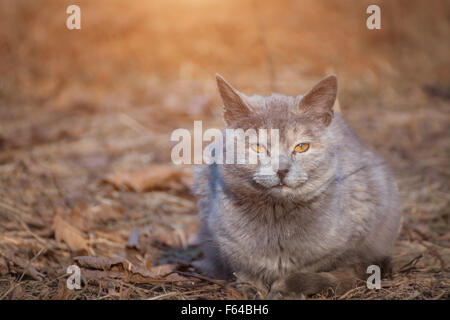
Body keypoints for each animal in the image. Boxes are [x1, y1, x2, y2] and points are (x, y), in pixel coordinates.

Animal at [193, 74, 400, 298]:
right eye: (258, 147)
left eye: (301, 147)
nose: (282, 170)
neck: (276, 219)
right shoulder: (223, 242)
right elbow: (244, 272)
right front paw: (253, 289)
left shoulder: (355, 236)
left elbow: (318, 268)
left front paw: (286, 288)